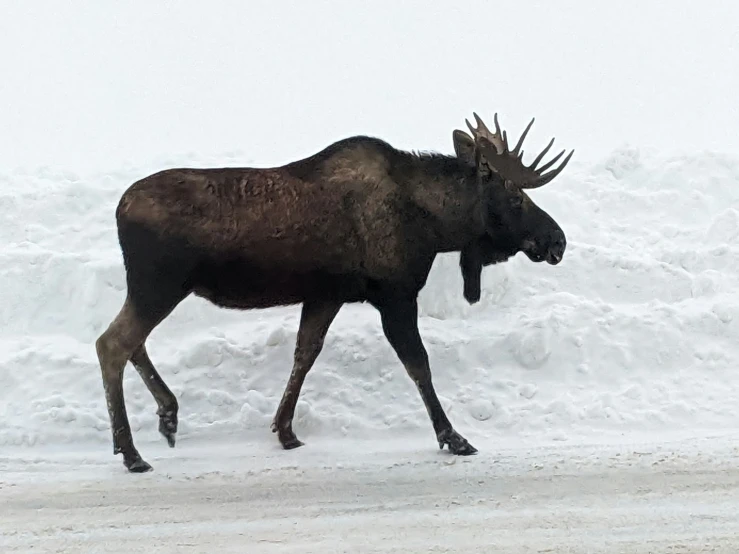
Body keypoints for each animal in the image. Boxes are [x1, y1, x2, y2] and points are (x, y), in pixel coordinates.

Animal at [95, 111, 576, 470]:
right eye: (515, 197)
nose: (557, 240)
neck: (437, 228)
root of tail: (119, 209)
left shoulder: (326, 294)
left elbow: (305, 354)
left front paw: (286, 431)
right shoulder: (395, 293)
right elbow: (418, 365)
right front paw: (454, 437)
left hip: (153, 288)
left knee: (132, 343)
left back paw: (166, 416)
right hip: (159, 284)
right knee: (112, 343)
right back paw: (132, 451)